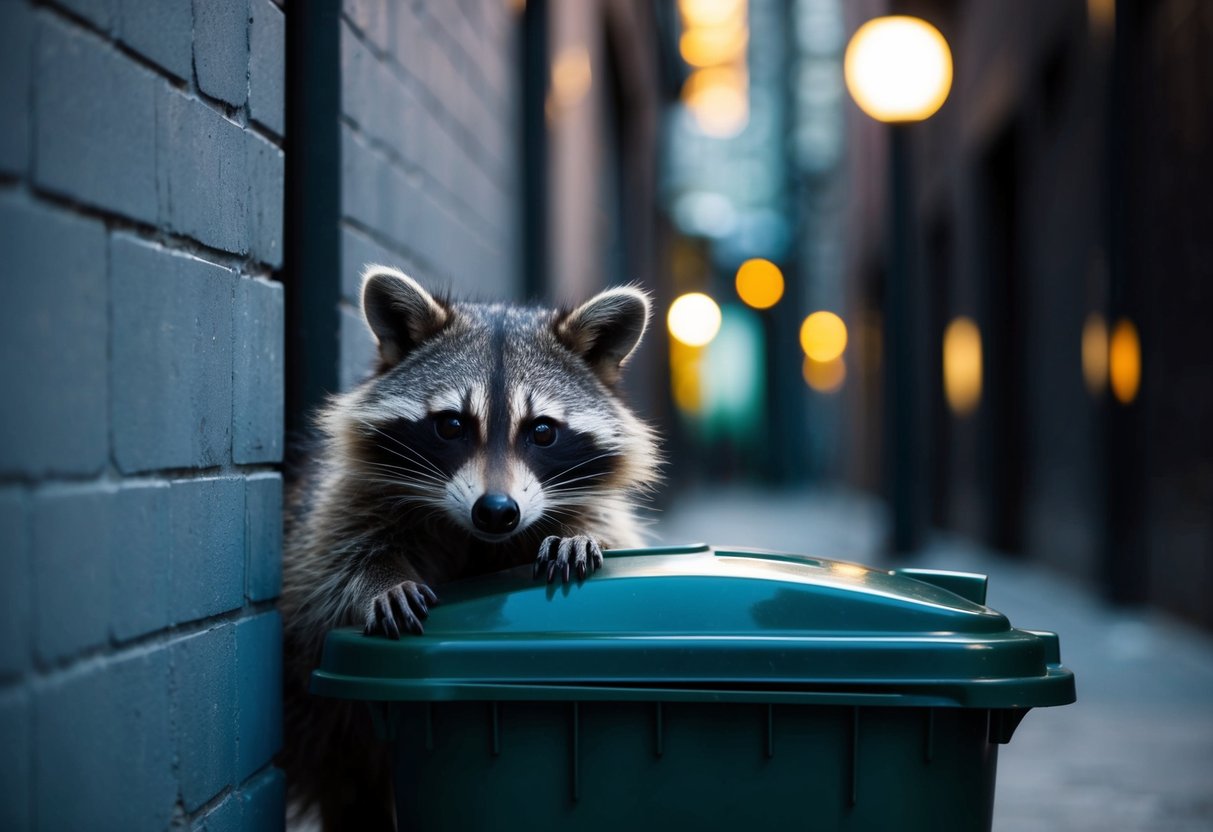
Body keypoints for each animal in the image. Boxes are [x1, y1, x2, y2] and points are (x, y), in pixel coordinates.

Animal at [279, 266, 660, 829]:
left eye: (542, 431)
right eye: (452, 425)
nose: (497, 511)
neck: (472, 534)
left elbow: (615, 538)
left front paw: (577, 536)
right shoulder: (339, 504)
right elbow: (330, 566)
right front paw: (381, 578)